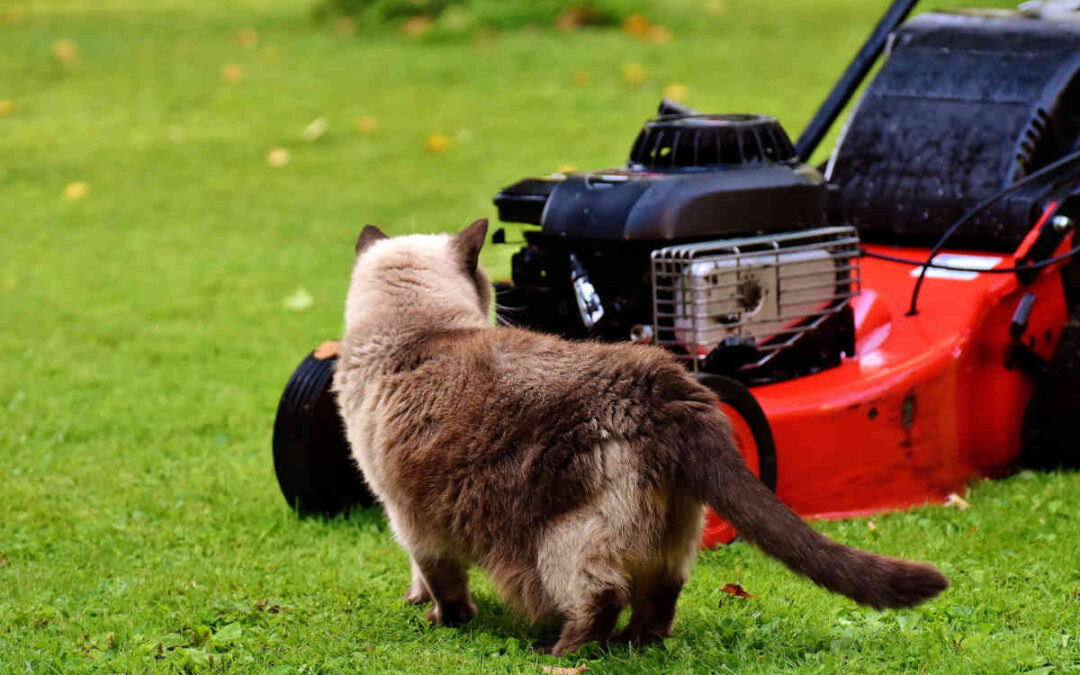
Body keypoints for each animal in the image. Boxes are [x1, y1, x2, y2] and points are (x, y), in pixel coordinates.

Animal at [330, 218, 946, 656]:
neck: (416, 332)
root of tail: (666, 385)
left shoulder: (408, 515)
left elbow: (441, 581)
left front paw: (442, 621)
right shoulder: (413, 515)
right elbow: (425, 578)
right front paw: (419, 604)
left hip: (563, 539)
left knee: (601, 596)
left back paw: (562, 654)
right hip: (673, 531)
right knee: (660, 597)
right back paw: (635, 646)